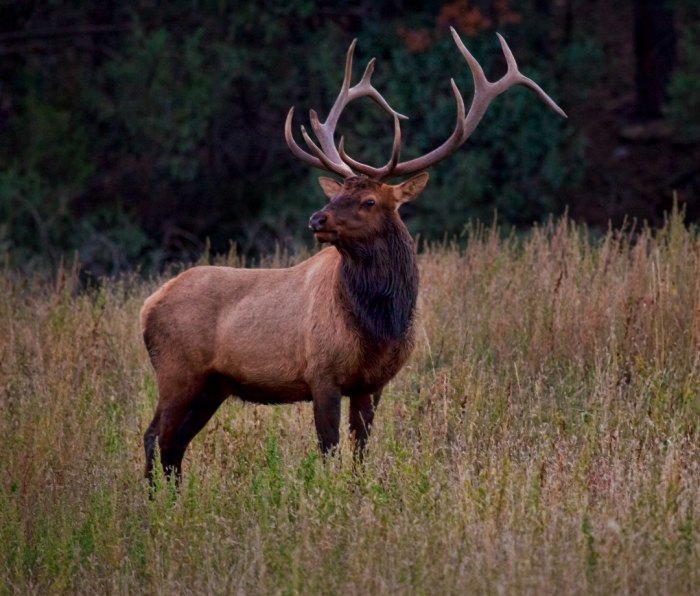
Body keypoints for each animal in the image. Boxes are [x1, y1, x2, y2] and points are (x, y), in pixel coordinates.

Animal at [139, 29, 568, 484]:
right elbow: (329, 451)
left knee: (174, 446)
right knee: (155, 438)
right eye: (338, 193)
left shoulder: (372, 383)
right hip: (177, 370)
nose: (316, 219)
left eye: (368, 200)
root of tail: (148, 306)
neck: (380, 323)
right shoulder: (322, 372)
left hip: (214, 385)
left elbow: (360, 453)